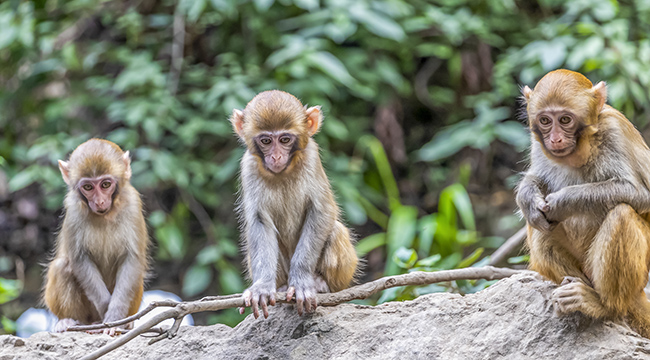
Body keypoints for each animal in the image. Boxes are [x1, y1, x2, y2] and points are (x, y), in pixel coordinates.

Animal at [43, 139, 147, 334]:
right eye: (88, 187)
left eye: (105, 185)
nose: (99, 202)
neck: (105, 215)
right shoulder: (74, 209)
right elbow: (79, 259)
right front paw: (107, 312)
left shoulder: (132, 204)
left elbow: (132, 259)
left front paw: (115, 318)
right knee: (62, 266)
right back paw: (69, 321)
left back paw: (127, 322)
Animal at [229, 89, 360, 318]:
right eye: (266, 141)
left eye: (284, 139)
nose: (276, 156)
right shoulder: (248, 166)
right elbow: (259, 221)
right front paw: (262, 287)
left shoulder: (311, 157)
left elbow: (322, 212)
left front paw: (301, 282)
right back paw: (281, 286)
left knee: (335, 230)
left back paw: (321, 283)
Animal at [516, 69, 650, 338]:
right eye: (545, 121)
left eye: (565, 119)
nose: (555, 139)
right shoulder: (537, 144)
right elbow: (536, 185)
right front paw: (527, 197)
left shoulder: (615, 131)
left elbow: (640, 195)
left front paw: (563, 201)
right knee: (538, 225)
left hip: (641, 273)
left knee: (622, 213)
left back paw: (602, 305)